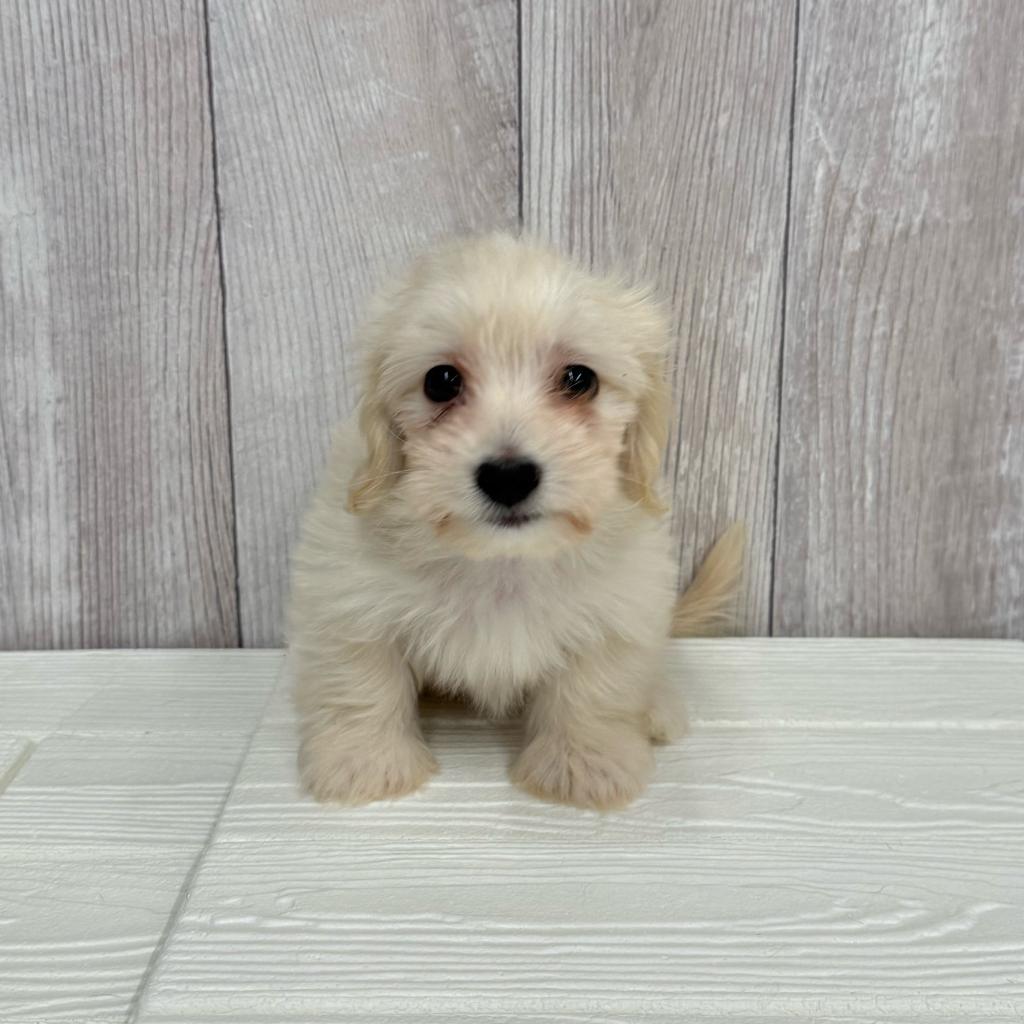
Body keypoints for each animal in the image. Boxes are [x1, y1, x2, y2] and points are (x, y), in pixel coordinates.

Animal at [287, 233, 742, 810]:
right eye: (441, 381)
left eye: (579, 379)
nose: (508, 477)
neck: (502, 560)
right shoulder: (347, 594)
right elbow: (361, 680)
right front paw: (366, 765)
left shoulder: (621, 604)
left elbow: (595, 689)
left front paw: (585, 766)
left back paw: (658, 708)